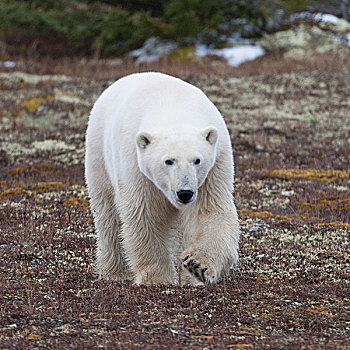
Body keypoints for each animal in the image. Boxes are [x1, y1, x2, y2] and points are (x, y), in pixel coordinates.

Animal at [85, 71, 239, 284]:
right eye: (168, 161)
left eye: (197, 160)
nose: (185, 193)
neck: (174, 109)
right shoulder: (137, 168)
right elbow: (145, 216)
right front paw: (156, 279)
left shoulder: (215, 166)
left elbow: (210, 211)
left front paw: (197, 266)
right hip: (99, 155)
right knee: (108, 216)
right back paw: (116, 272)